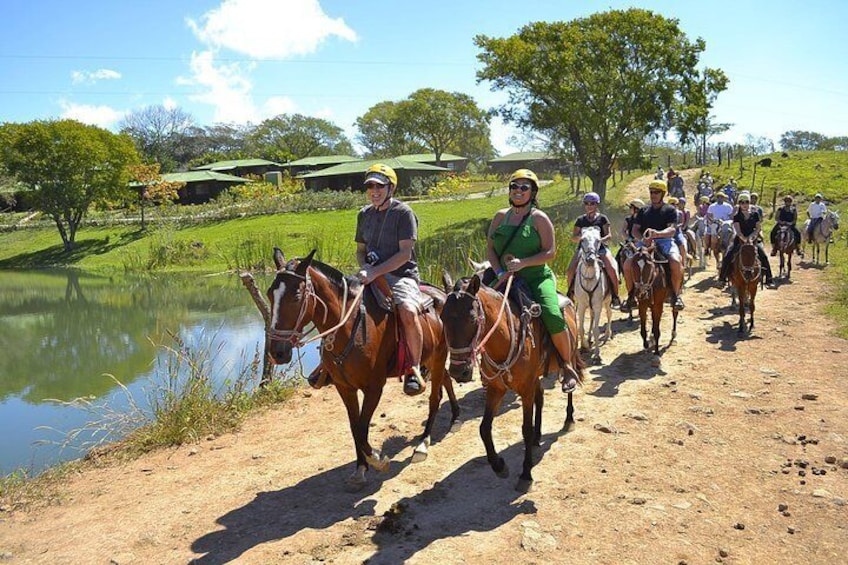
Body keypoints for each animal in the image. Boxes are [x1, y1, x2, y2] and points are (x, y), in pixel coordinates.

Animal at [266, 247, 460, 490]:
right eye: (269, 294)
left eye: (296, 296)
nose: (277, 352)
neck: (350, 328)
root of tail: (442, 294)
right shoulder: (344, 387)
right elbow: (354, 426)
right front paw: (361, 467)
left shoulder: (374, 387)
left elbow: (361, 427)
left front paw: (377, 459)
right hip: (432, 359)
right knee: (446, 380)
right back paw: (455, 418)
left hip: (438, 356)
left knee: (435, 398)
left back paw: (423, 443)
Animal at [438, 270, 584, 492]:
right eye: (443, 317)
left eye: (472, 319)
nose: (458, 371)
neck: (505, 339)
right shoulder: (496, 388)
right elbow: (484, 428)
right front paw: (498, 465)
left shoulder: (525, 389)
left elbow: (525, 429)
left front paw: (526, 474)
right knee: (540, 397)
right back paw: (538, 436)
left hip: (570, 357)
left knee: (569, 387)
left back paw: (569, 419)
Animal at [572, 226, 612, 364]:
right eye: (582, 239)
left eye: (598, 240)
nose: (590, 260)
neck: (589, 278)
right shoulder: (581, 305)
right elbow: (580, 328)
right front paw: (584, 346)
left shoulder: (598, 305)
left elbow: (596, 329)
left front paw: (597, 355)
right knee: (591, 318)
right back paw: (589, 340)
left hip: (607, 302)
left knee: (609, 314)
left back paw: (607, 335)